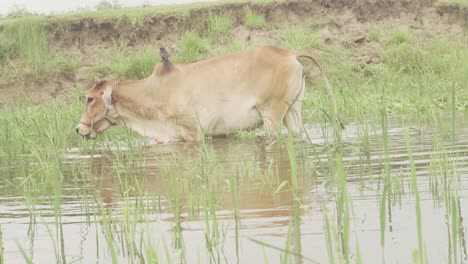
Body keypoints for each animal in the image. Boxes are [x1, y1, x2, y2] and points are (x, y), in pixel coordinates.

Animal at [75, 46, 336, 143]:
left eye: (90, 98)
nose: (79, 128)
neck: (154, 93)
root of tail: (289, 53)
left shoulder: (193, 133)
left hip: (272, 115)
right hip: (294, 110)